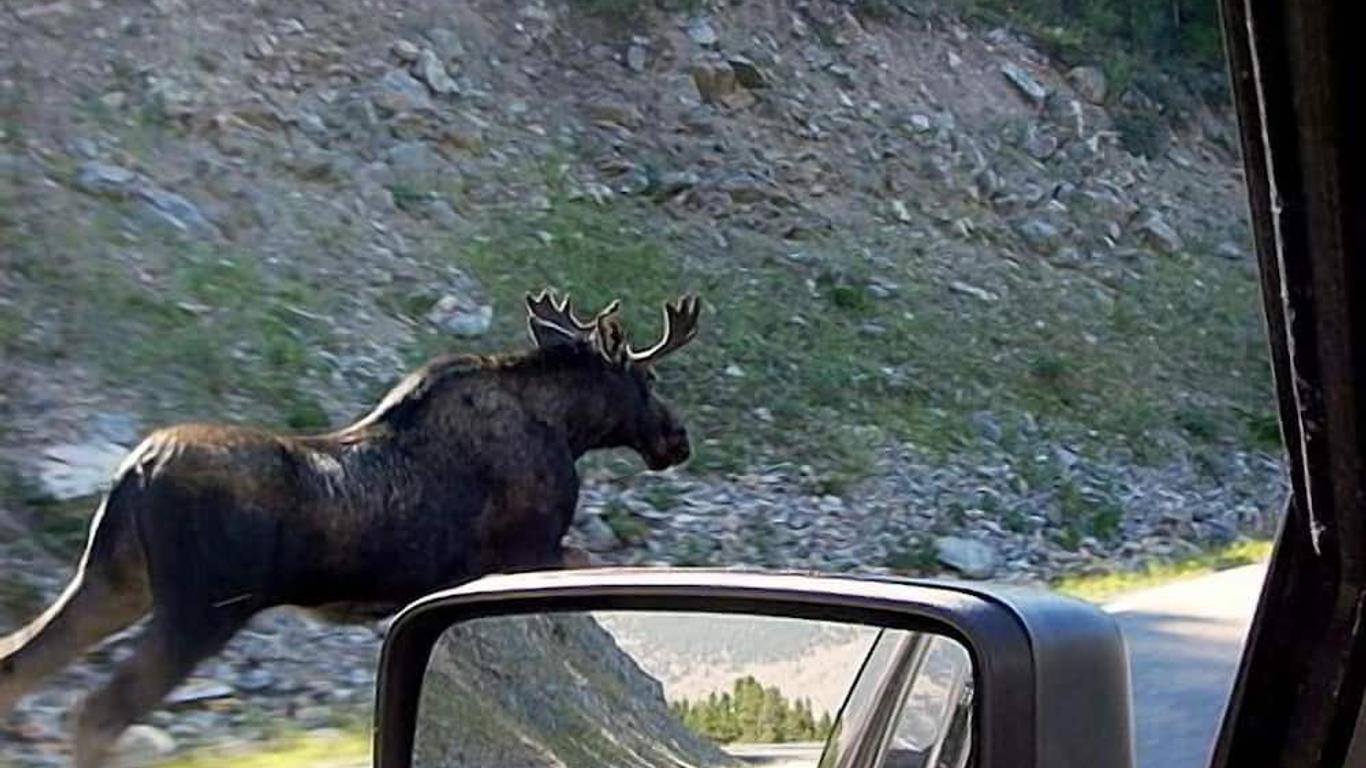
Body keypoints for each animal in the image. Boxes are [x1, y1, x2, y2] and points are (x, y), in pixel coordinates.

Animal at [0, 289, 699, 759]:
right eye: (648, 375)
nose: (677, 437)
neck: (569, 428)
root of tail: (137, 468)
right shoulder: (532, 550)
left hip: (116, 581)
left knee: (20, 662)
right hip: (200, 609)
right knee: (98, 710)